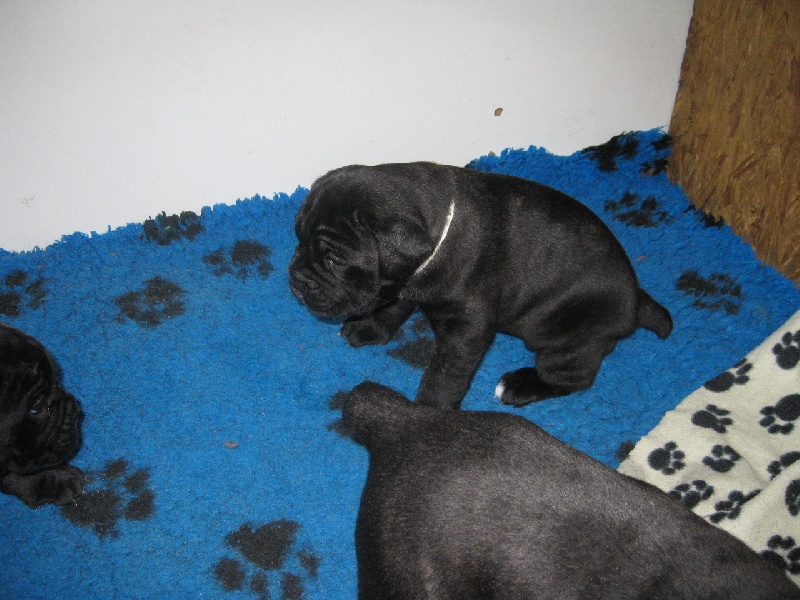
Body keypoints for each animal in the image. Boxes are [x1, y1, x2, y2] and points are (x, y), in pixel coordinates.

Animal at [289, 162, 672, 410]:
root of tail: (636, 300)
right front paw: (369, 326)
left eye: (335, 260)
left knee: (574, 377)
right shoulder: (402, 280)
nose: (296, 279)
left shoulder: (466, 330)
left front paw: (428, 415)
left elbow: (444, 376)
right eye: (297, 237)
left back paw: (521, 385)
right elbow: (392, 306)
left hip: (569, 338)